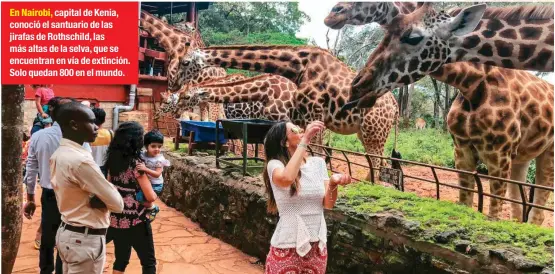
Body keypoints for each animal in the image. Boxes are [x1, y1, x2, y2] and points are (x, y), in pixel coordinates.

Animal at [176, 45, 398, 181]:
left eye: (185, 62)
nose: (175, 88)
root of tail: (395, 106)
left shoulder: (304, 115)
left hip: (372, 131)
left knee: (376, 162)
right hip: (366, 132)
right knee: (378, 161)